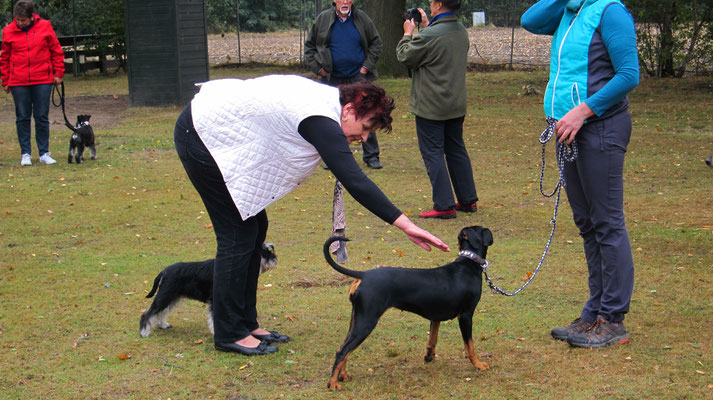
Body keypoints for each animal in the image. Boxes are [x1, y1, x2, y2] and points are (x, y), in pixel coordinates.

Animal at [138, 244, 276, 338]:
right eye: (265, 251)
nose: (274, 259)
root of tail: (164, 271)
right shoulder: (215, 301)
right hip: (165, 296)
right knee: (148, 313)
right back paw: (144, 332)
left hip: (172, 297)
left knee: (162, 312)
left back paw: (162, 325)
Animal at [326, 227, 492, 390]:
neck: (468, 263)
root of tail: (364, 275)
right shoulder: (466, 315)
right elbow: (470, 345)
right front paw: (478, 365)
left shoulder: (435, 318)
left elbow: (432, 339)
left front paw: (429, 357)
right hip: (366, 321)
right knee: (342, 351)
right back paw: (332, 383)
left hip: (356, 319)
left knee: (344, 348)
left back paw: (343, 376)